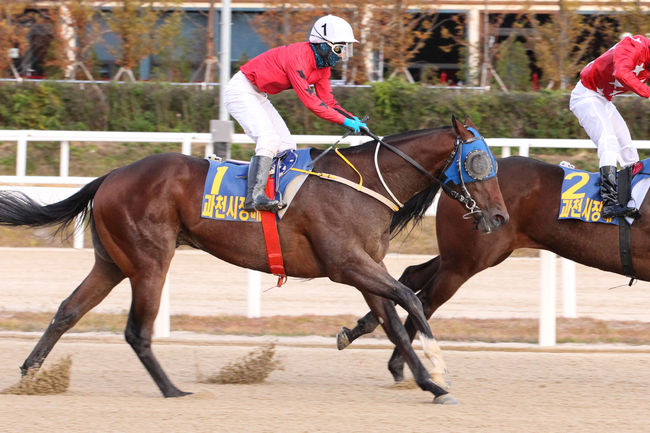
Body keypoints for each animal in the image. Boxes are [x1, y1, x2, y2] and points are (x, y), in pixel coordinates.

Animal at [0, 115, 506, 402]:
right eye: (479, 161)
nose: (500, 216)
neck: (362, 185)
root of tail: (111, 176)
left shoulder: (366, 267)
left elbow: (395, 321)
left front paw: (429, 384)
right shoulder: (346, 265)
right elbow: (412, 301)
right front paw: (438, 365)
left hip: (111, 261)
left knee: (67, 311)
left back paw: (29, 377)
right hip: (149, 261)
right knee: (136, 331)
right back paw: (172, 390)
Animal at [336, 155, 648, 382]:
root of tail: (453, 180)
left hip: (469, 254)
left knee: (412, 277)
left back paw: (363, 330)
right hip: (468, 259)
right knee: (425, 300)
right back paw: (406, 364)